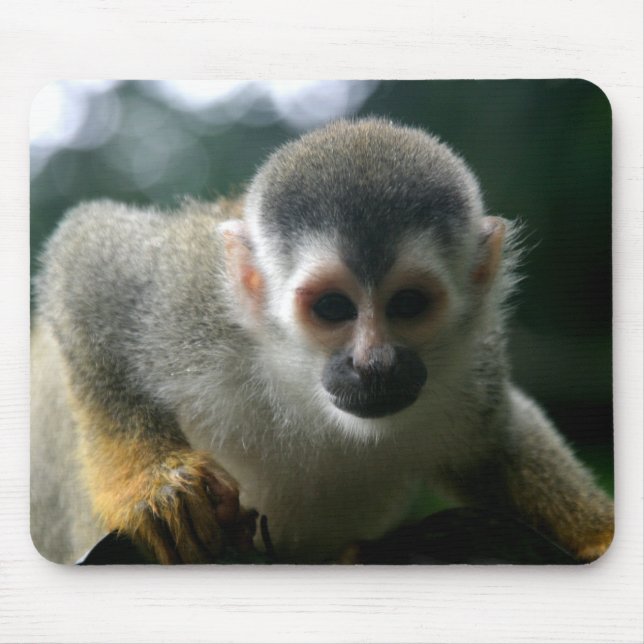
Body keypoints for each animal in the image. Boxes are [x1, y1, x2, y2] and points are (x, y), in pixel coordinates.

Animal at [30, 118, 614, 565]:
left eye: (408, 305)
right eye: (333, 308)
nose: (373, 363)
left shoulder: (475, 364)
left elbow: (498, 443)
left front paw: (601, 538)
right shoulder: (189, 303)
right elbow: (89, 258)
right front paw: (151, 484)